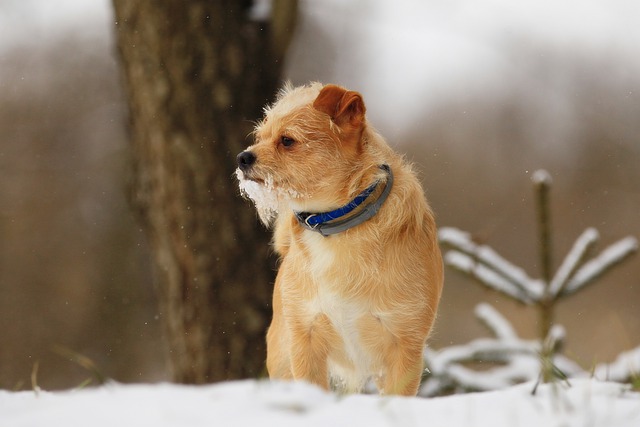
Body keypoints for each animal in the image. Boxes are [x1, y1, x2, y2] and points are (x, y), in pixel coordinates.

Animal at [236, 82, 444, 396]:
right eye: (260, 138)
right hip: (283, 355)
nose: (242, 157)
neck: (335, 225)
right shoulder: (305, 339)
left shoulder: (405, 343)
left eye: (287, 140)